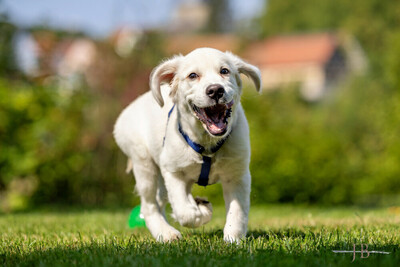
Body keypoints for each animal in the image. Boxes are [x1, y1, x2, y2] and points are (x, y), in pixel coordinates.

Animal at [114, 47, 260, 243]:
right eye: (192, 75)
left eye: (224, 71)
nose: (215, 90)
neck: (207, 144)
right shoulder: (172, 171)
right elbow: (185, 212)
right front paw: (202, 211)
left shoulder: (237, 174)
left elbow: (237, 211)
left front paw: (233, 238)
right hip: (144, 164)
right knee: (149, 206)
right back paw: (166, 233)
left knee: (159, 202)